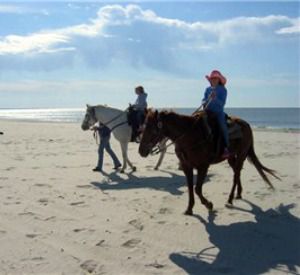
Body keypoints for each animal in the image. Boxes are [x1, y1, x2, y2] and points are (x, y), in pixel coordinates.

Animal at [138, 110, 278, 216]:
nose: (141, 151)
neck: (190, 136)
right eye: (144, 127)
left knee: (236, 174)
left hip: (241, 155)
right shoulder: (187, 167)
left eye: (152, 129)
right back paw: (238, 194)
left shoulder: (203, 167)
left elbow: (197, 189)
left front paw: (208, 204)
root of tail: (247, 125)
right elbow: (190, 187)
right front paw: (189, 209)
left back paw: (230, 198)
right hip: (231, 157)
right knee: (237, 173)